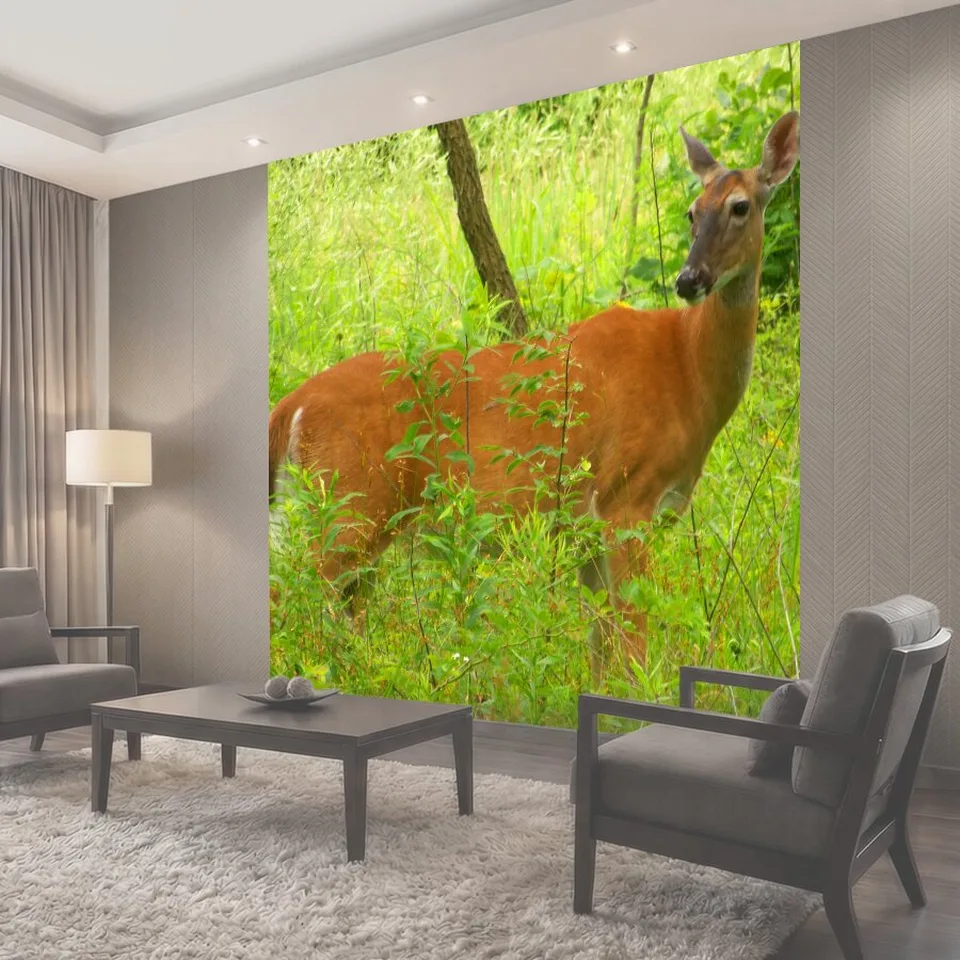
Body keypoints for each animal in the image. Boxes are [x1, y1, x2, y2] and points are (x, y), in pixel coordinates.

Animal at [268, 111, 799, 668]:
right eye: (692, 211)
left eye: (740, 206)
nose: (689, 279)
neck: (687, 370)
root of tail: (289, 407)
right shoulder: (625, 496)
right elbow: (633, 648)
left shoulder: (589, 529)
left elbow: (600, 649)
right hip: (345, 506)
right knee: (286, 598)